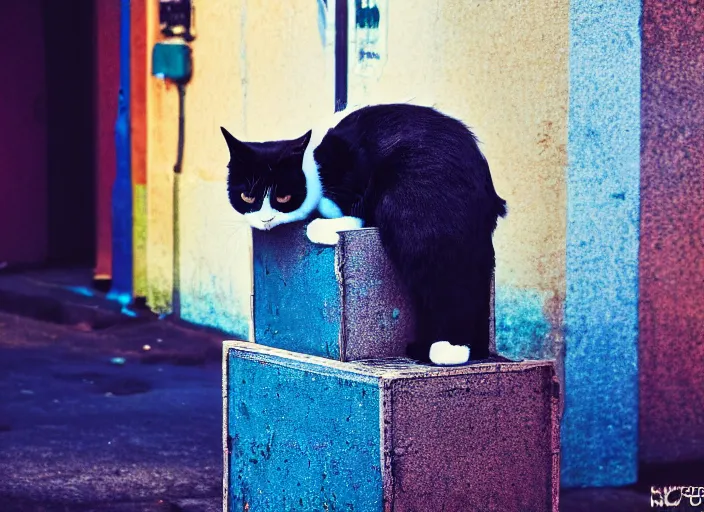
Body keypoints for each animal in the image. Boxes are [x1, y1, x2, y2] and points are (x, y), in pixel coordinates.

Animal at [220, 104, 506, 366]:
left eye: (283, 197)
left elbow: (357, 209)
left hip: (413, 201)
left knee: (444, 274)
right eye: (247, 197)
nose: (265, 219)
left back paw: (449, 348)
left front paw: (323, 227)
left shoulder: (358, 166)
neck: (316, 163)